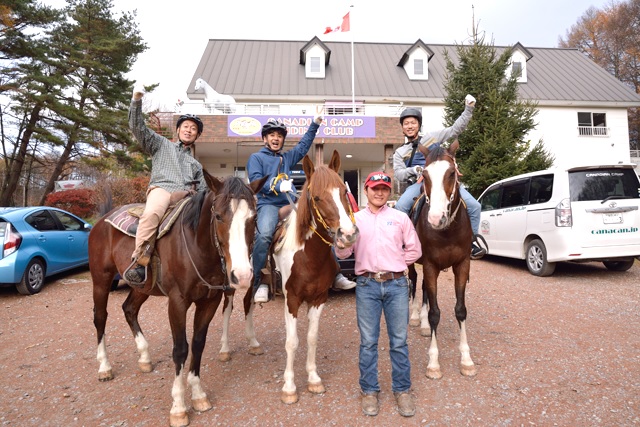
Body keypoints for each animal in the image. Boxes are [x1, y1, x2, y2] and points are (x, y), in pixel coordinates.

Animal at [272, 150, 358, 404]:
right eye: (318, 198)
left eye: (343, 192)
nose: (348, 234)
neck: (307, 256)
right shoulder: (291, 300)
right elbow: (292, 342)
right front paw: (289, 387)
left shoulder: (319, 299)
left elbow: (311, 338)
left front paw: (313, 379)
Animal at [408, 141, 478, 382]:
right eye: (425, 175)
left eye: (451, 173)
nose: (436, 218)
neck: (447, 231)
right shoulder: (430, 266)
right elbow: (435, 313)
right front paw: (433, 363)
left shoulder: (462, 265)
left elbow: (460, 310)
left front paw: (466, 360)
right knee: (413, 283)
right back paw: (414, 317)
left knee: (423, 289)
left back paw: (423, 324)